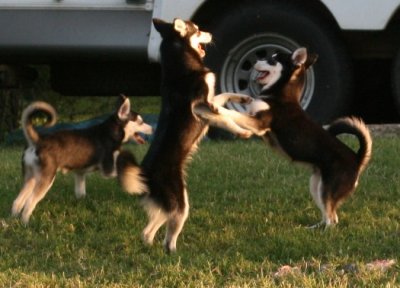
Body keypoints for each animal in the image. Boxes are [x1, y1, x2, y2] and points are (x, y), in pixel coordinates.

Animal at [12, 95, 153, 224]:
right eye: (140, 122)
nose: (152, 128)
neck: (110, 132)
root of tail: (38, 140)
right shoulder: (108, 170)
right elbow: (128, 166)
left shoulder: (80, 173)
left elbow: (81, 193)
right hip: (46, 178)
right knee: (29, 202)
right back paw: (26, 223)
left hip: (30, 179)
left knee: (17, 201)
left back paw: (13, 221)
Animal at [116, 18, 266, 252]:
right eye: (197, 29)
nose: (210, 34)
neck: (182, 68)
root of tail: (144, 173)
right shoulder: (203, 108)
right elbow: (228, 116)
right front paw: (244, 130)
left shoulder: (210, 102)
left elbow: (224, 97)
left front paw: (242, 99)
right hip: (179, 205)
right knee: (168, 240)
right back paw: (175, 254)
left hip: (168, 207)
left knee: (147, 232)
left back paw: (150, 249)